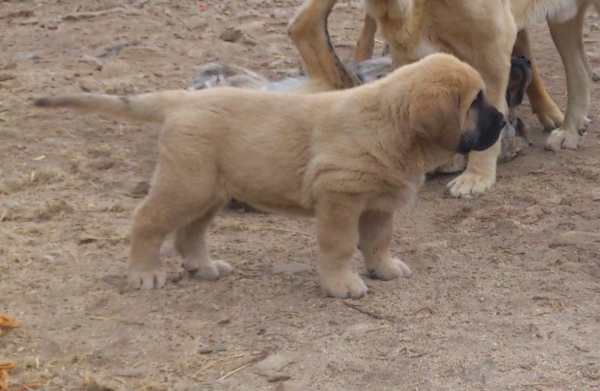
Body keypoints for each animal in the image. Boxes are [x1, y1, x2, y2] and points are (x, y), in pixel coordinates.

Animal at [31, 53, 502, 300]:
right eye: (475, 102)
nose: (501, 122)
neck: (392, 123)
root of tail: (181, 99)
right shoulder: (339, 199)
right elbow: (340, 246)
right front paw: (341, 284)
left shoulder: (378, 205)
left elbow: (377, 242)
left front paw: (383, 269)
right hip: (187, 184)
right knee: (147, 220)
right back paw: (143, 273)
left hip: (211, 192)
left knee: (188, 234)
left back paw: (203, 266)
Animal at [288, 0, 596, 198]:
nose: (522, 61)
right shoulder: (408, 52)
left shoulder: (493, 44)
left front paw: (477, 177)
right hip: (564, 19)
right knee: (579, 68)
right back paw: (570, 130)